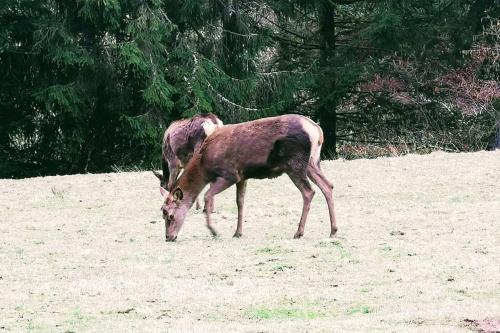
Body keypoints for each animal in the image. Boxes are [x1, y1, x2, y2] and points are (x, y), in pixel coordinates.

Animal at [160, 114, 338, 241]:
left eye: (170, 215)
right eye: (163, 213)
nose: (168, 237)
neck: (204, 165)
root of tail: (317, 131)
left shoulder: (229, 174)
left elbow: (207, 195)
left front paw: (214, 231)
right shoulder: (242, 177)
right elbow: (240, 202)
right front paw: (237, 232)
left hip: (295, 163)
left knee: (309, 192)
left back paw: (299, 232)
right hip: (312, 162)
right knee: (328, 185)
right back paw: (333, 230)